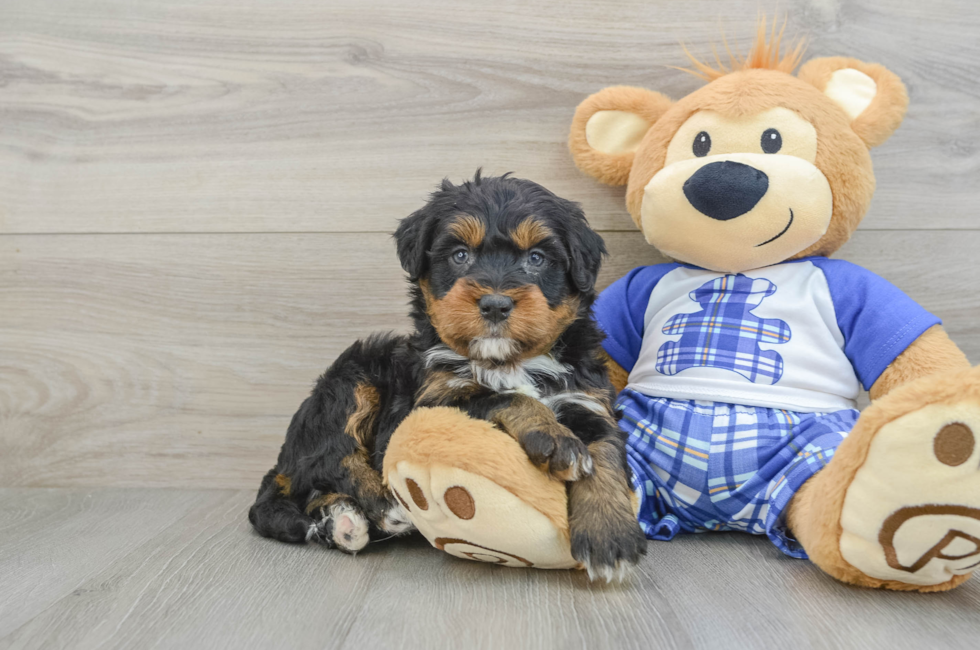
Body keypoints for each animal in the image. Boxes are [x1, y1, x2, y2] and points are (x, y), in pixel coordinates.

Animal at [249, 172, 648, 576]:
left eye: (536, 258)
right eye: (460, 255)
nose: (495, 304)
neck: (508, 361)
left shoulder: (586, 399)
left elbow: (606, 450)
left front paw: (609, 536)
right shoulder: (433, 400)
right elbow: (505, 396)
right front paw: (555, 439)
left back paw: (344, 522)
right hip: (351, 377)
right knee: (333, 455)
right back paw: (383, 507)